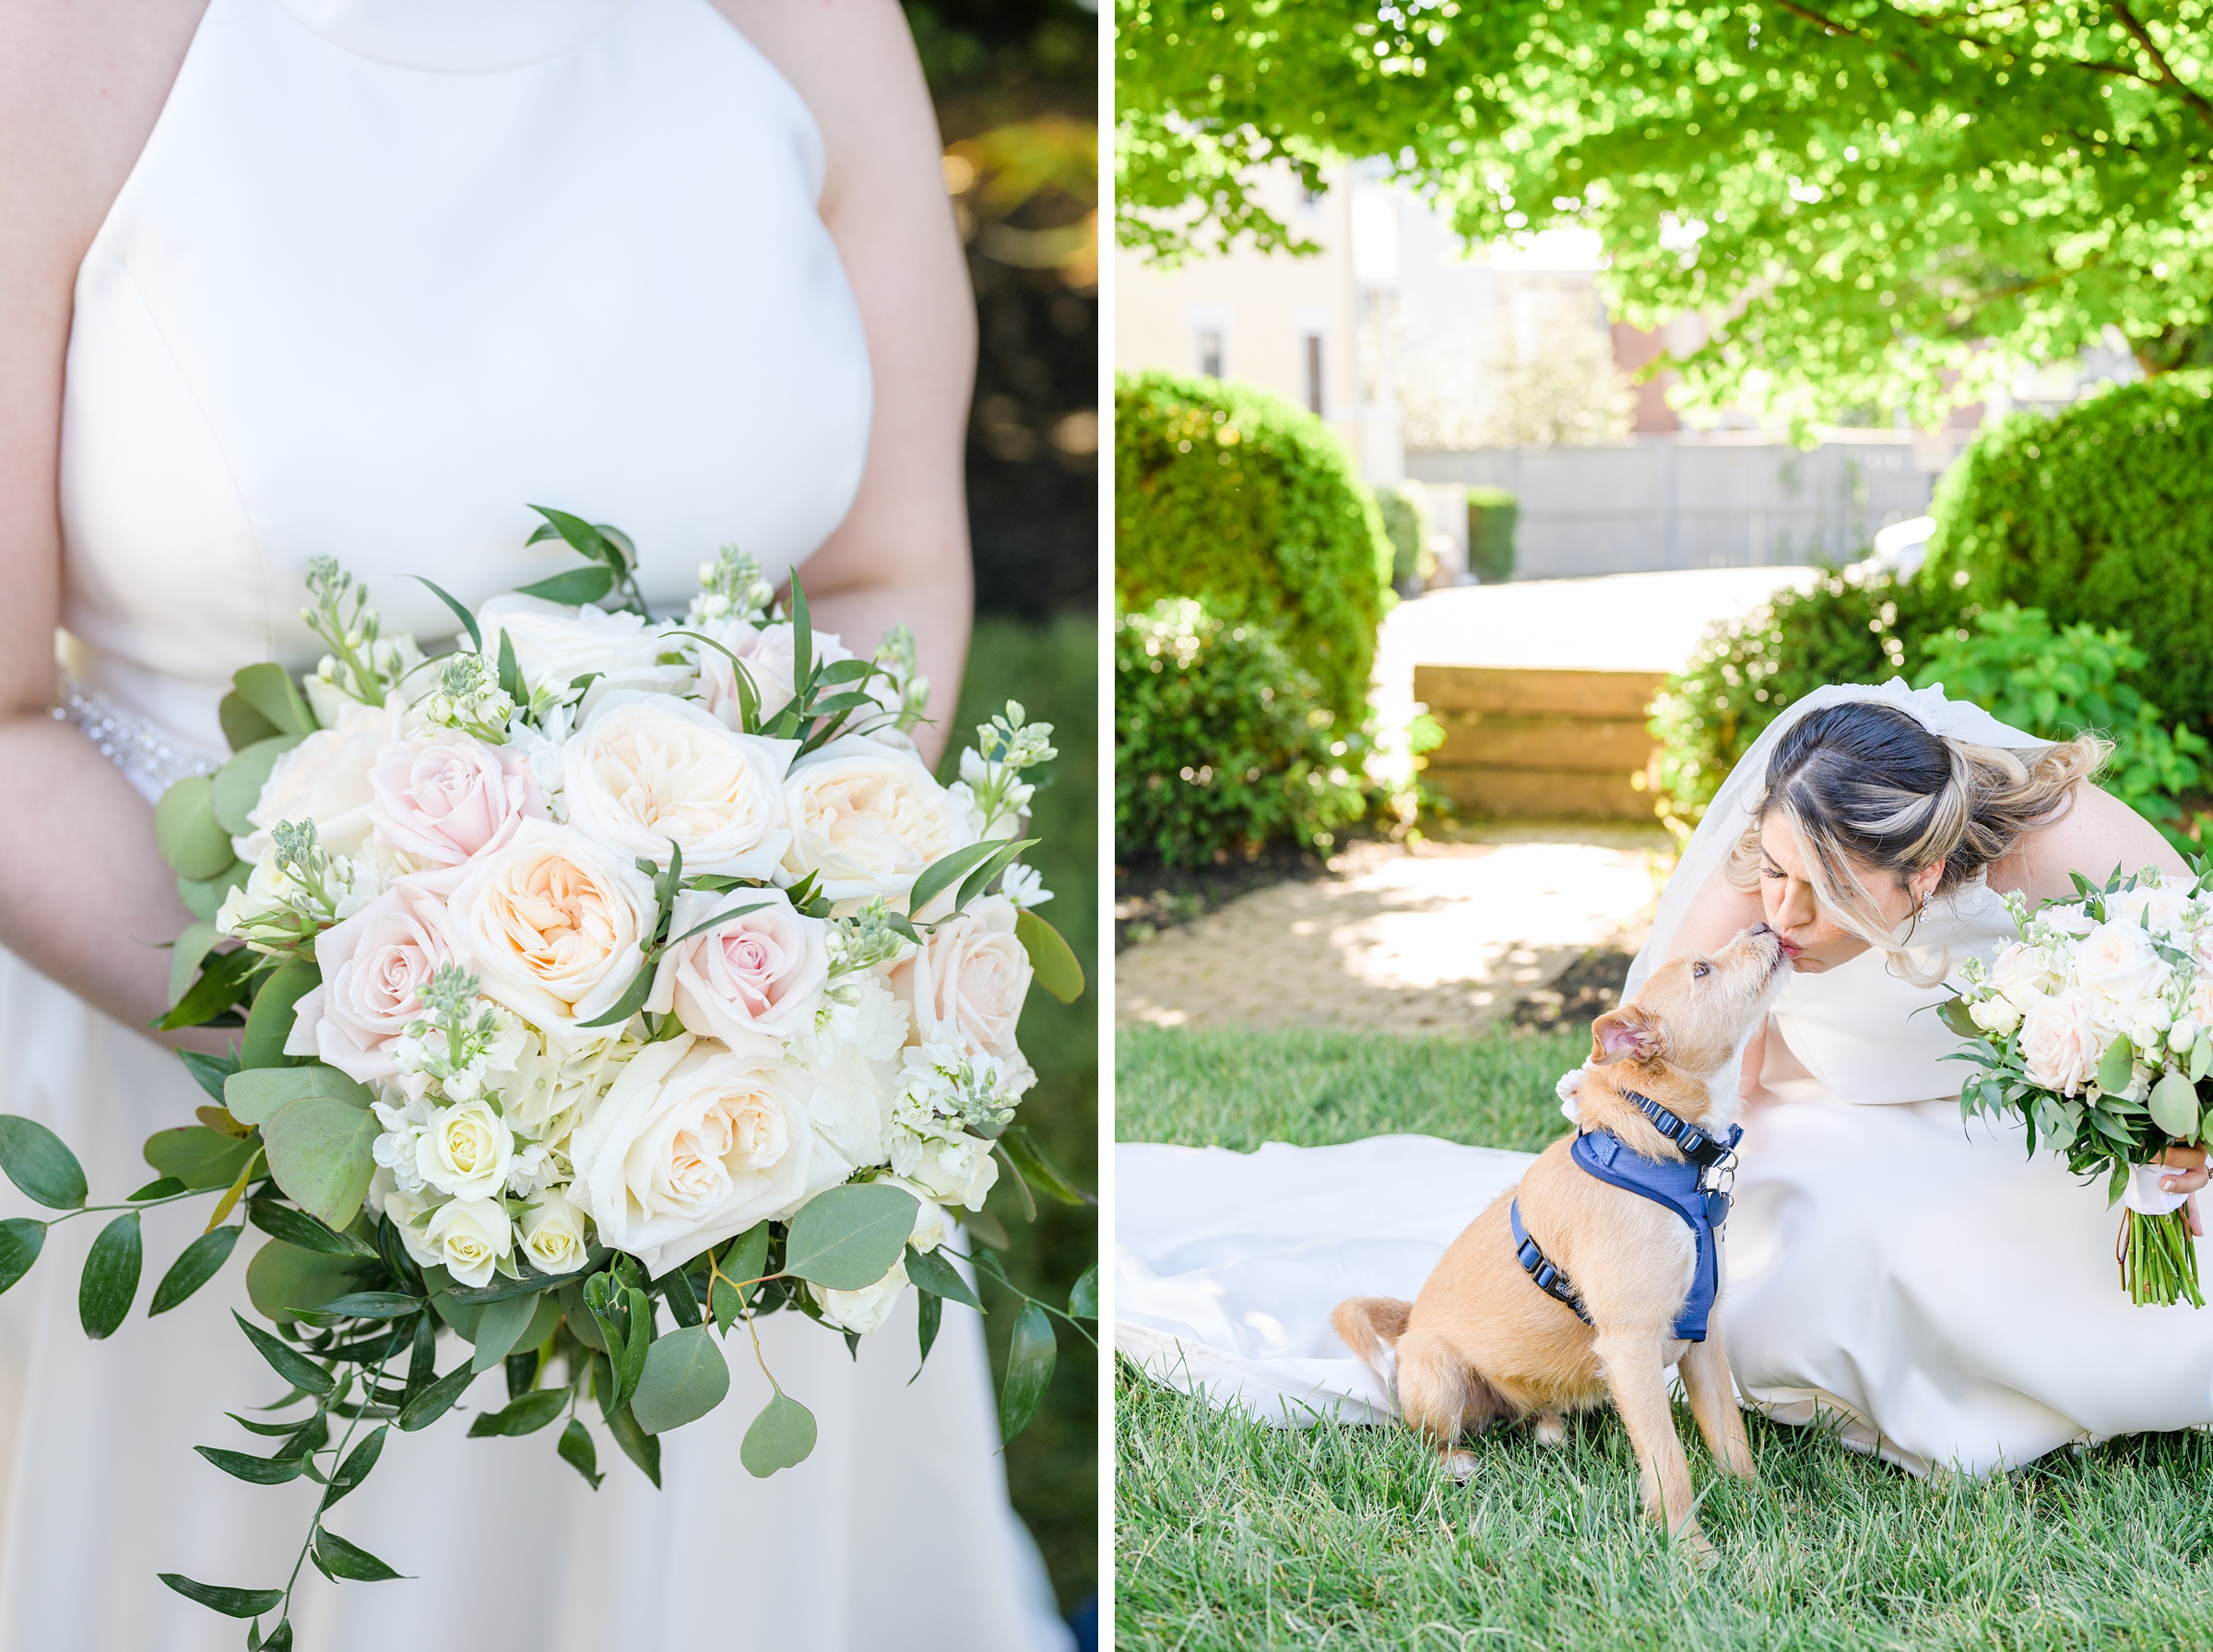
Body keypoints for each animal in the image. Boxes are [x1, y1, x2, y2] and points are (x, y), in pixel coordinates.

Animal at [1319, 928, 1788, 1548]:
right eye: (1702, 970)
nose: (1764, 926)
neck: (1668, 1152)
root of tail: (1412, 1317)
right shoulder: (1631, 1346)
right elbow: (1668, 1462)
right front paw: (1690, 1549)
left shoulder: (1703, 1336)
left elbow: (1731, 1440)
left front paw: (1761, 1509)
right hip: (1439, 1375)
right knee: (1423, 1438)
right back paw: (1457, 1461)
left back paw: (1549, 1427)